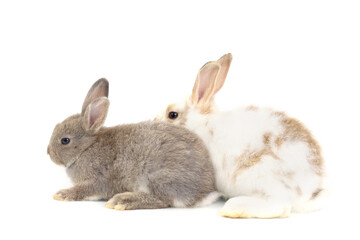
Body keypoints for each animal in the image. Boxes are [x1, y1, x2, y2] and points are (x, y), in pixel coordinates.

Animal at [46, 78, 218, 210]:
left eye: (65, 140)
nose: (48, 153)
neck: (87, 147)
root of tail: (204, 193)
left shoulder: (98, 180)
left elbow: (86, 189)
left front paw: (62, 194)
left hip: (157, 177)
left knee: (162, 200)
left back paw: (121, 200)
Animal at [156, 54, 328, 218]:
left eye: (172, 115)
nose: (155, 123)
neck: (200, 126)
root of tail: (310, 191)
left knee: (281, 207)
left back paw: (233, 209)